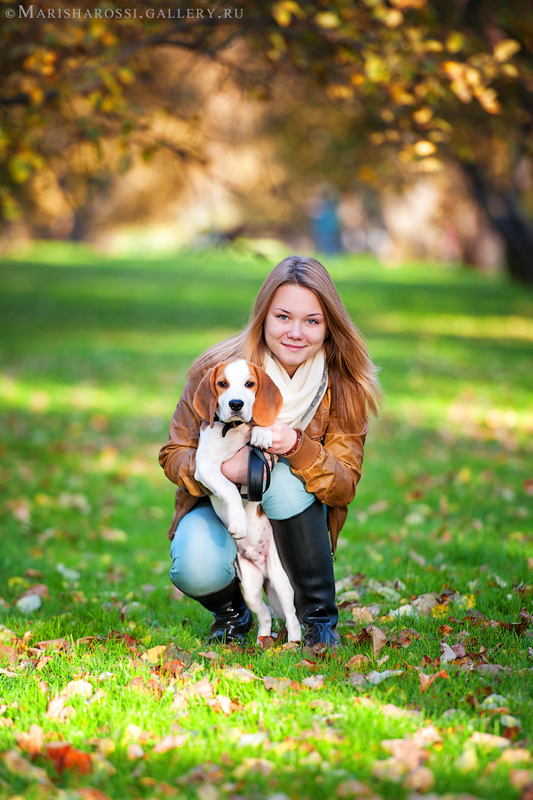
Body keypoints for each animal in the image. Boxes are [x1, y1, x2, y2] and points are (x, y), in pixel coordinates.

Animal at [193, 359, 301, 643]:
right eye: (222, 384)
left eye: (250, 384)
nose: (236, 404)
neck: (233, 430)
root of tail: (262, 569)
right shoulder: (204, 468)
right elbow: (230, 489)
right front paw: (239, 523)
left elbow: (266, 425)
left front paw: (262, 433)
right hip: (249, 587)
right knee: (264, 614)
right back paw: (263, 640)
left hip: (281, 581)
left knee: (292, 615)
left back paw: (294, 642)